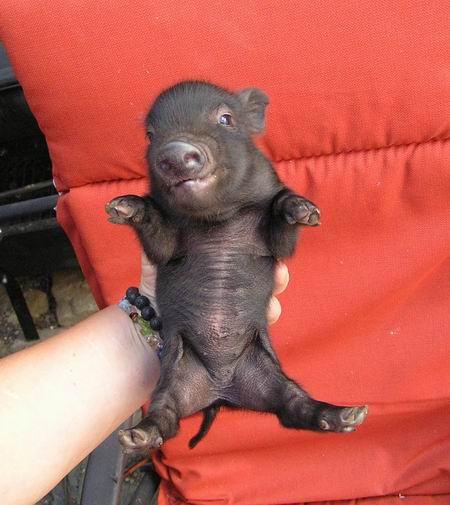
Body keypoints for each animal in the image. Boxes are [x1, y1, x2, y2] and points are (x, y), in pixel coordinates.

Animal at [106, 81, 368, 453]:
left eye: (225, 119)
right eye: (150, 134)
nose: (175, 151)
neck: (217, 220)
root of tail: (221, 393)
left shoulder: (273, 242)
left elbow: (283, 231)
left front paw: (305, 210)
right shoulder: (167, 248)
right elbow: (159, 240)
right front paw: (122, 207)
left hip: (266, 373)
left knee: (292, 406)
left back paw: (348, 416)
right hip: (175, 377)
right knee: (166, 415)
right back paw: (137, 437)